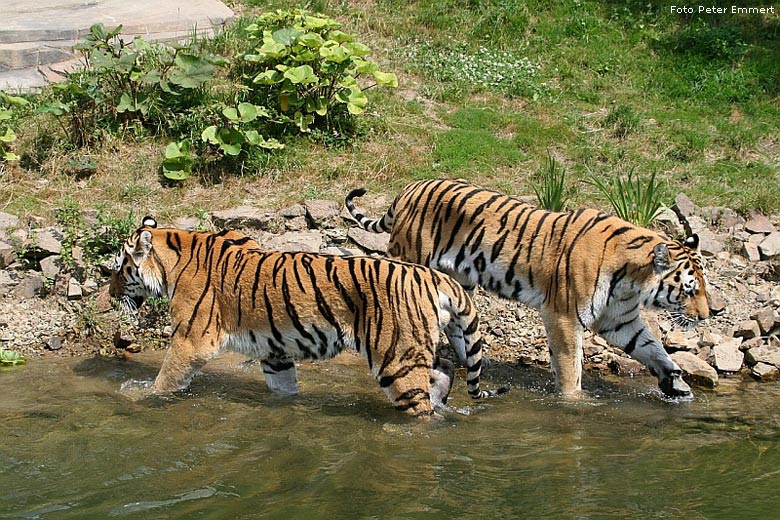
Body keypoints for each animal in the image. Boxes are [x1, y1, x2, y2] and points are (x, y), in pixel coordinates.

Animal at [108, 217, 506, 416]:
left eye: (118, 268)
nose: (111, 295)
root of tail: (434, 275)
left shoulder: (191, 340)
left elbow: (164, 381)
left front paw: (136, 398)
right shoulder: (274, 352)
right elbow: (283, 389)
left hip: (396, 358)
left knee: (422, 406)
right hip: (418, 346)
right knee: (446, 370)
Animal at [344, 178, 708, 398]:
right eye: (690, 289)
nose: (708, 315)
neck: (632, 281)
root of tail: (409, 188)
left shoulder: (620, 320)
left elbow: (653, 348)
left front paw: (676, 384)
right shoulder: (564, 315)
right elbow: (570, 365)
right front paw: (574, 402)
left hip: (459, 282)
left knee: (457, 326)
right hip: (410, 264)